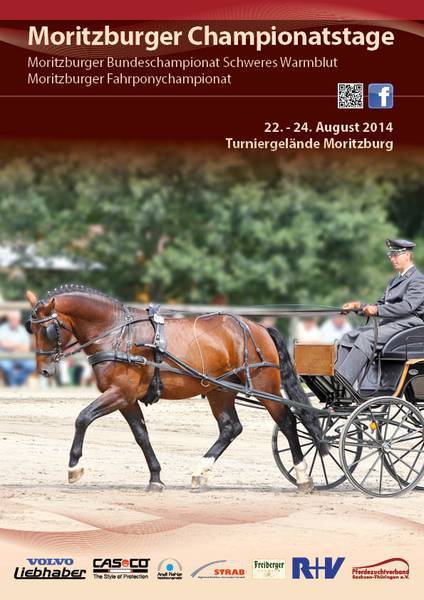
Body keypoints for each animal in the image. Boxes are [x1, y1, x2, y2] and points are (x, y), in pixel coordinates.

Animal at [24, 286, 328, 492]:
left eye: (49, 330)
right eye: (31, 328)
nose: (45, 371)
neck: (117, 333)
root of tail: (259, 327)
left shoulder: (120, 393)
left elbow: (83, 418)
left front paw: (74, 467)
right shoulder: (127, 399)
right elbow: (141, 435)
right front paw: (156, 477)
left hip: (266, 387)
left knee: (286, 421)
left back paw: (303, 476)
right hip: (220, 391)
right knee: (230, 427)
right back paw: (200, 471)